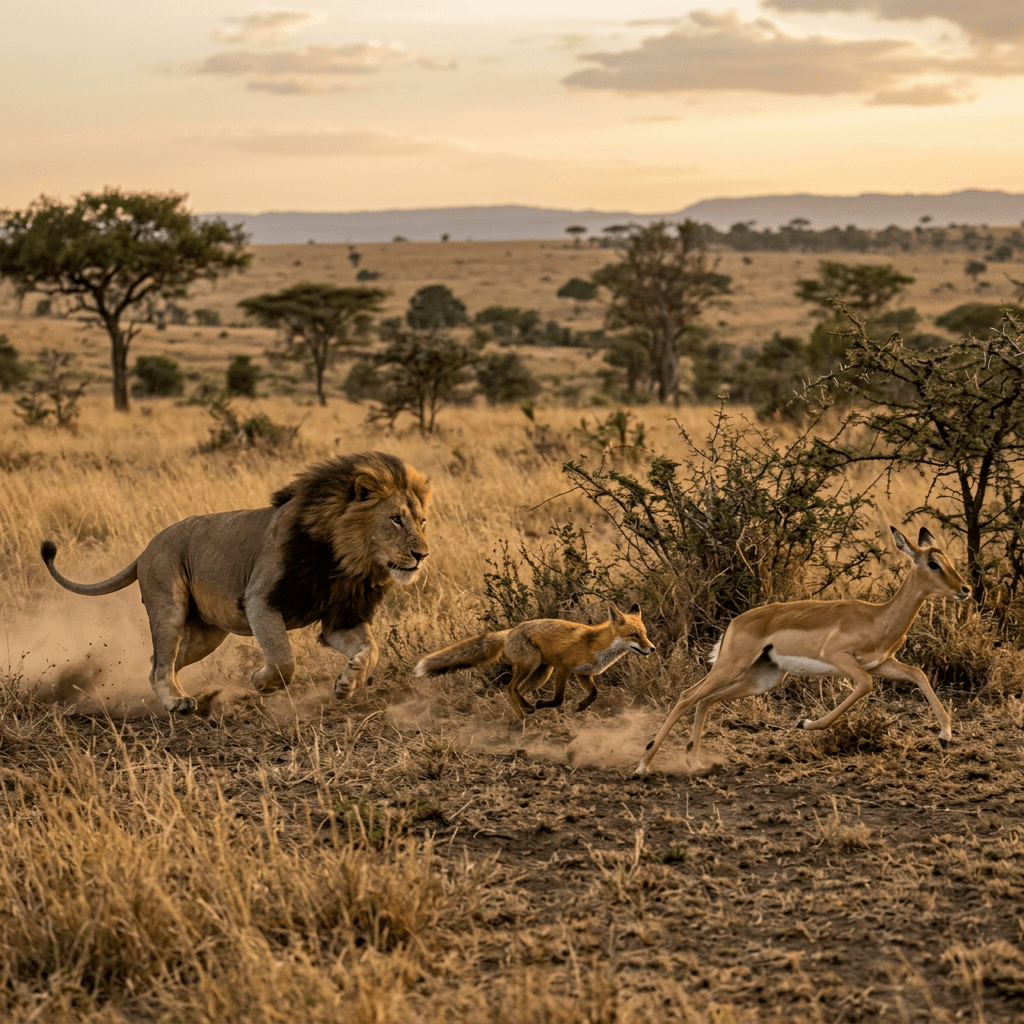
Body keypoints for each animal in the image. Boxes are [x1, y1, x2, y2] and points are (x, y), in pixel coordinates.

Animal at [40, 451, 431, 713]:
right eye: (396, 519)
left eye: (422, 521)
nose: (422, 554)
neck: (345, 559)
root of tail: (147, 547)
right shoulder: (260, 600)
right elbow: (283, 659)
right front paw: (262, 682)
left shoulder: (341, 617)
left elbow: (371, 649)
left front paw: (348, 684)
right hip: (169, 607)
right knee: (161, 661)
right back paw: (175, 702)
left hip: (207, 635)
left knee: (157, 663)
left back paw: (180, 698)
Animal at [414, 603, 655, 719]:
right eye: (634, 635)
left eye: (644, 633)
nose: (652, 649)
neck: (595, 645)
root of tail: (510, 631)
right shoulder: (564, 668)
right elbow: (558, 699)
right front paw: (543, 704)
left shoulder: (582, 673)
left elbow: (595, 694)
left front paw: (580, 706)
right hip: (532, 664)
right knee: (510, 688)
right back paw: (527, 711)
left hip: (541, 672)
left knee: (516, 691)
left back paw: (522, 713)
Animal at [634, 526, 971, 777]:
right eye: (933, 564)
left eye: (948, 560)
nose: (965, 590)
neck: (877, 618)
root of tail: (735, 622)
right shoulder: (842, 659)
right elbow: (865, 686)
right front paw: (805, 723)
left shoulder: (881, 663)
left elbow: (918, 673)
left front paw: (945, 736)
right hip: (731, 667)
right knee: (688, 695)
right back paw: (642, 766)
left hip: (762, 679)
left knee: (705, 700)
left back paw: (694, 763)